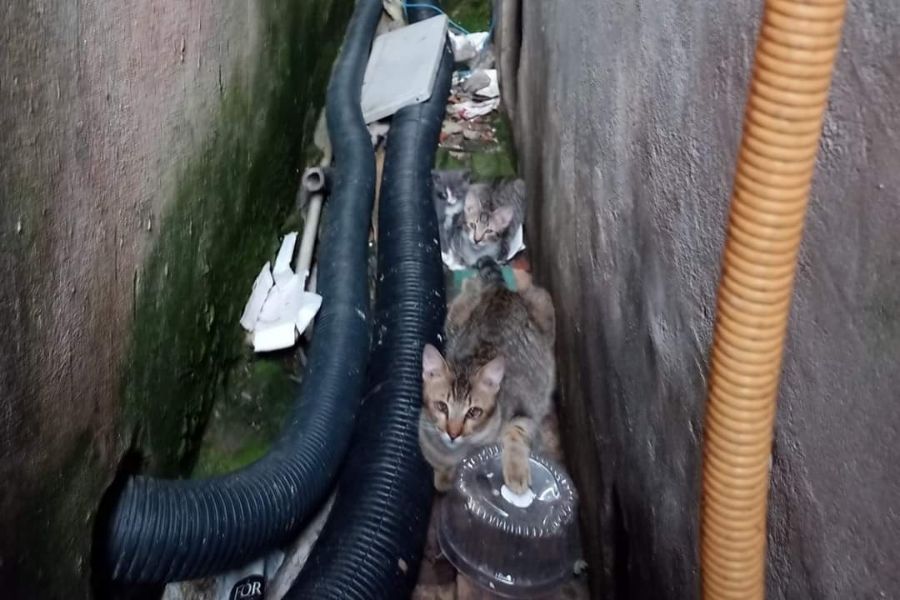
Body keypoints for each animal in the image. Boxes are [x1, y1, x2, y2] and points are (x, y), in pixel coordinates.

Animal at [420, 258, 556, 492]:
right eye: (441, 407)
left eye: (474, 412)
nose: (453, 434)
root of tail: (502, 290)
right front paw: (443, 476)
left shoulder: (524, 411)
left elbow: (515, 433)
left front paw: (516, 473)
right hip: (454, 319)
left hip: (543, 301)